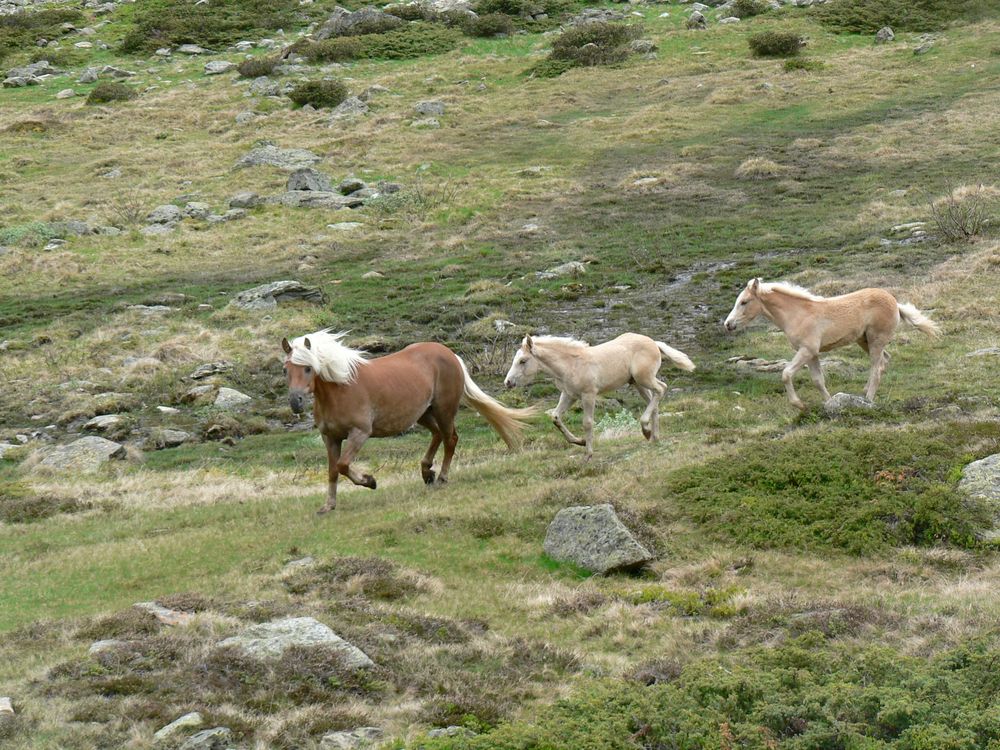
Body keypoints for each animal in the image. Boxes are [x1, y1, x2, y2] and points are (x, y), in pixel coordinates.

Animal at [282, 332, 536, 516]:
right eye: (286, 369)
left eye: (308, 368)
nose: (296, 402)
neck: (340, 388)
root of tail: (450, 354)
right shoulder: (330, 438)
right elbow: (333, 471)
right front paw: (328, 506)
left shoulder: (359, 433)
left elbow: (343, 465)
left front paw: (370, 481)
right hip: (423, 413)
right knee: (438, 435)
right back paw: (427, 472)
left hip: (443, 410)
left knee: (450, 438)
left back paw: (441, 477)